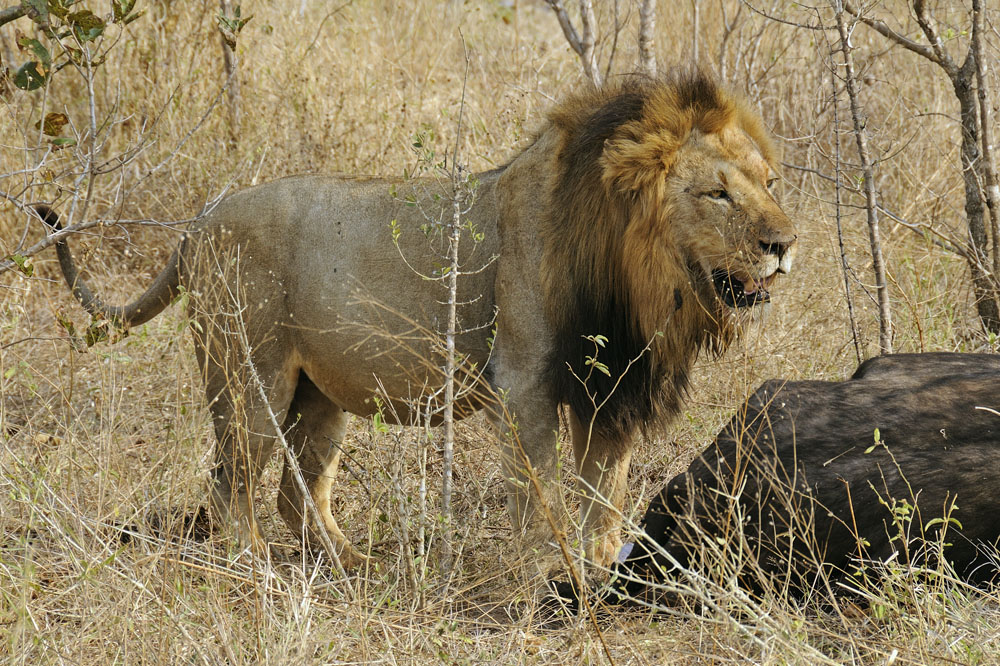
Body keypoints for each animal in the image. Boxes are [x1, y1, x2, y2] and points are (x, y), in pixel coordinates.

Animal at [42, 70, 796, 570]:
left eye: (768, 183)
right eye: (717, 194)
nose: (785, 243)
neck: (637, 277)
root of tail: (198, 223)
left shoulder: (611, 390)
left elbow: (604, 493)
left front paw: (601, 569)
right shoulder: (525, 387)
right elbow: (542, 491)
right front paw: (541, 572)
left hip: (321, 395)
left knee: (295, 492)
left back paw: (353, 565)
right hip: (250, 380)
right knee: (232, 489)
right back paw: (260, 571)